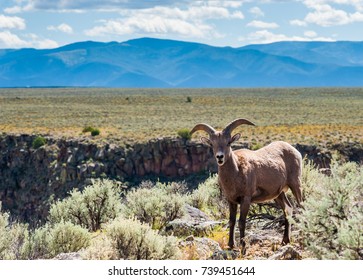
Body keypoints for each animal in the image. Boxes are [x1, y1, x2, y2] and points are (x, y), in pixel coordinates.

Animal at [192, 118, 302, 254]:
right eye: (212, 144)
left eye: (228, 142)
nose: (220, 157)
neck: (236, 171)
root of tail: (295, 151)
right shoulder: (231, 200)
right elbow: (232, 221)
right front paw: (231, 245)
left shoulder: (245, 199)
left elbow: (242, 222)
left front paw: (243, 248)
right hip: (278, 194)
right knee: (288, 209)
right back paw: (285, 241)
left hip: (295, 185)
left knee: (301, 207)